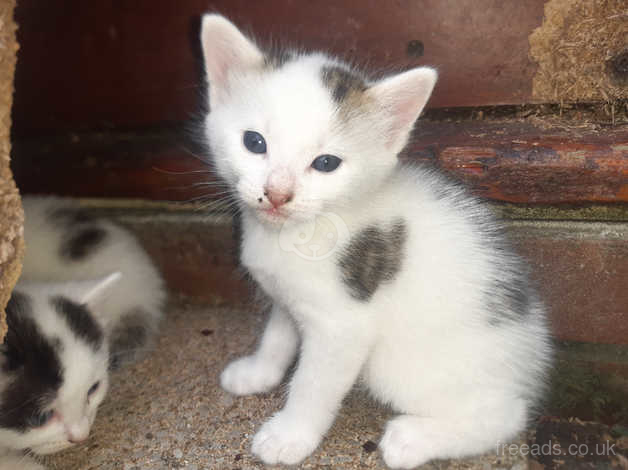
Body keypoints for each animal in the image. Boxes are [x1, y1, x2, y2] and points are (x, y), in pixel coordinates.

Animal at [201, 15, 556, 470]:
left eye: (326, 163)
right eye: (254, 142)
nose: (277, 194)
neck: (297, 232)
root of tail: (531, 361)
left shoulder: (343, 326)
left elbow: (313, 384)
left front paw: (290, 436)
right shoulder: (288, 296)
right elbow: (278, 335)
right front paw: (258, 373)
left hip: (405, 366)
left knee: (508, 414)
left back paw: (413, 439)